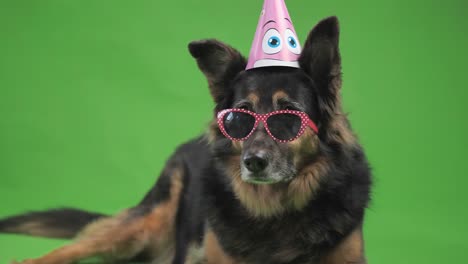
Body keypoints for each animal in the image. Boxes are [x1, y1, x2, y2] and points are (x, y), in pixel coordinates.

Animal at [0, 16, 372, 264]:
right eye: (238, 118)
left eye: (287, 119)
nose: (253, 163)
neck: (275, 210)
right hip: (145, 223)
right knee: (78, 245)